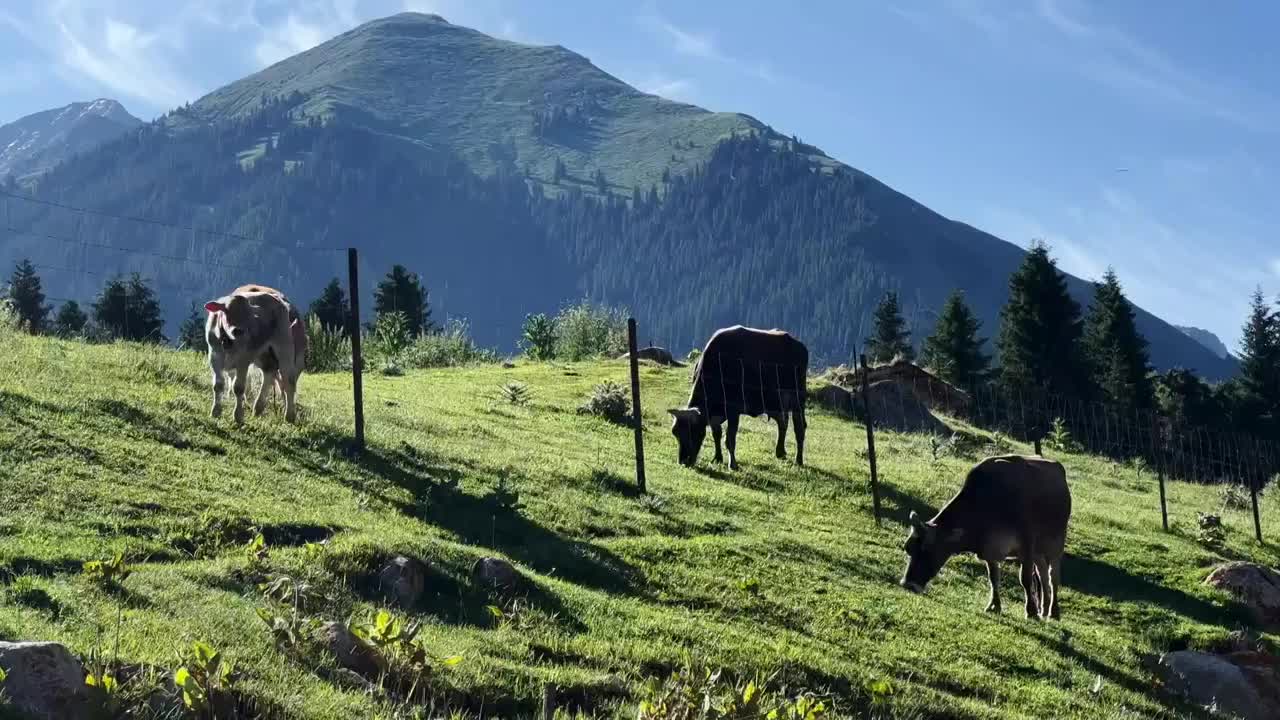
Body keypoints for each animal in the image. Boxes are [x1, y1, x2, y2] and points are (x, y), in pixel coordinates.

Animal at [204, 284, 304, 422]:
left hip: (284, 346)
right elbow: (218, 385)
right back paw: (257, 409)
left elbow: (238, 387)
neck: (228, 342)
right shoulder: (214, 356)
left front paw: (238, 416)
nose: (238, 330)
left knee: (288, 381)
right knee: (269, 372)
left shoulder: (243, 359)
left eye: (248, 316)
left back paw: (289, 416)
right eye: (227, 311)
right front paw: (215, 412)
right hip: (263, 355)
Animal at [901, 453, 1070, 617]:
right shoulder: (989, 550)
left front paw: (1031, 611)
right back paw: (1044, 608)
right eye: (908, 548)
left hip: (1056, 545)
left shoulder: (1026, 545)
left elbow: (1026, 579)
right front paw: (994, 606)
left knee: (1053, 577)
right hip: (1039, 553)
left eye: (927, 550)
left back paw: (1053, 611)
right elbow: (993, 579)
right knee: (1043, 575)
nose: (907, 584)